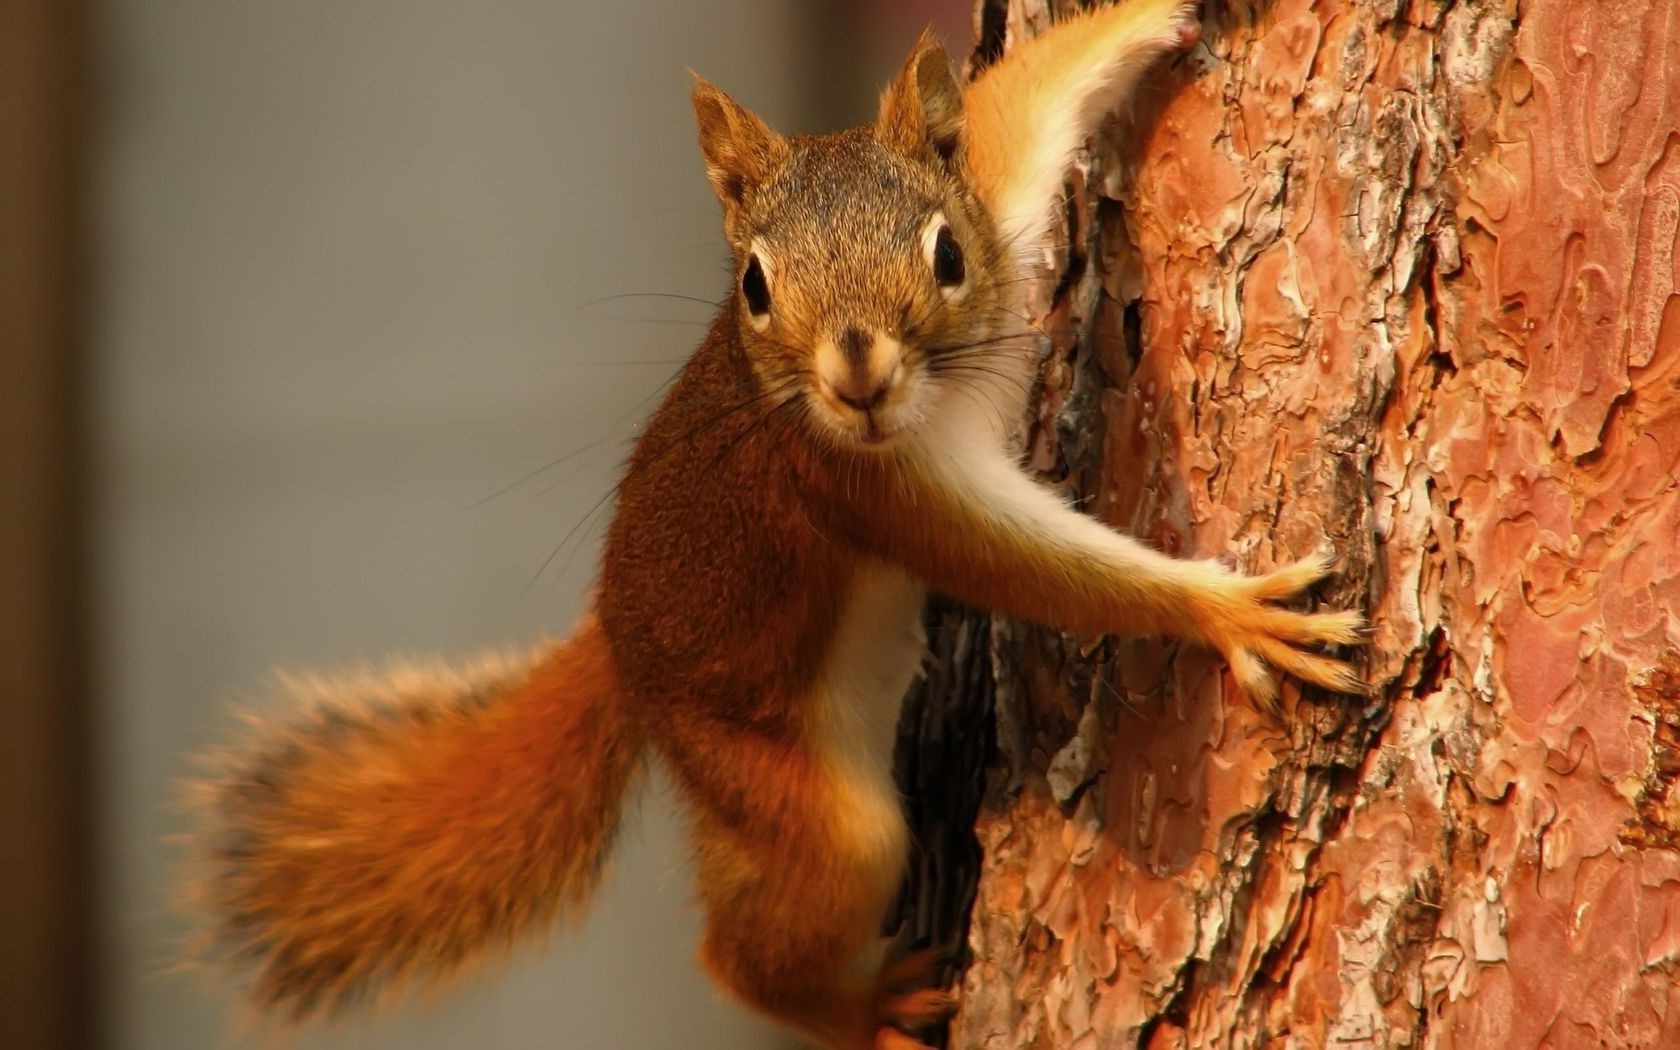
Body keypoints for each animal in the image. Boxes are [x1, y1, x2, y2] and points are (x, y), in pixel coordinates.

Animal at [187, 4, 1364, 1041]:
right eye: (753, 285)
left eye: (947, 253)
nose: (857, 377)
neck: (935, 397)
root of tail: (619, 653)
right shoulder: (870, 489)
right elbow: (1035, 571)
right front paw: (1230, 613)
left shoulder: (1000, 201)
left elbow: (1020, 103)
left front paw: (1160, 15)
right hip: (783, 794)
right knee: (748, 951)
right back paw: (862, 1012)